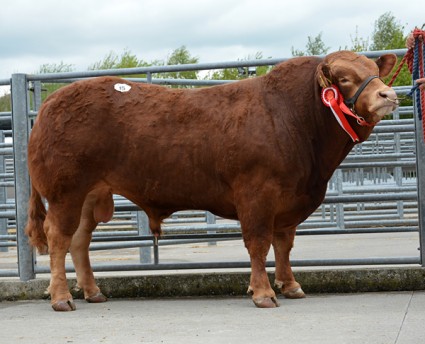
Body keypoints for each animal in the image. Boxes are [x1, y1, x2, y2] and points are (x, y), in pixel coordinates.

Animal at [25, 51, 398, 312]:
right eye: (344, 79)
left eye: (375, 71)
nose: (389, 95)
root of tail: (50, 103)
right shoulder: (257, 194)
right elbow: (259, 244)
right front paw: (263, 293)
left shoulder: (289, 201)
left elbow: (283, 245)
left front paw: (290, 286)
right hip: (65, 192)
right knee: (58, 238)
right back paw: (61, 298)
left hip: (90, 194)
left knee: (79, 241)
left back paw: (93, 292)